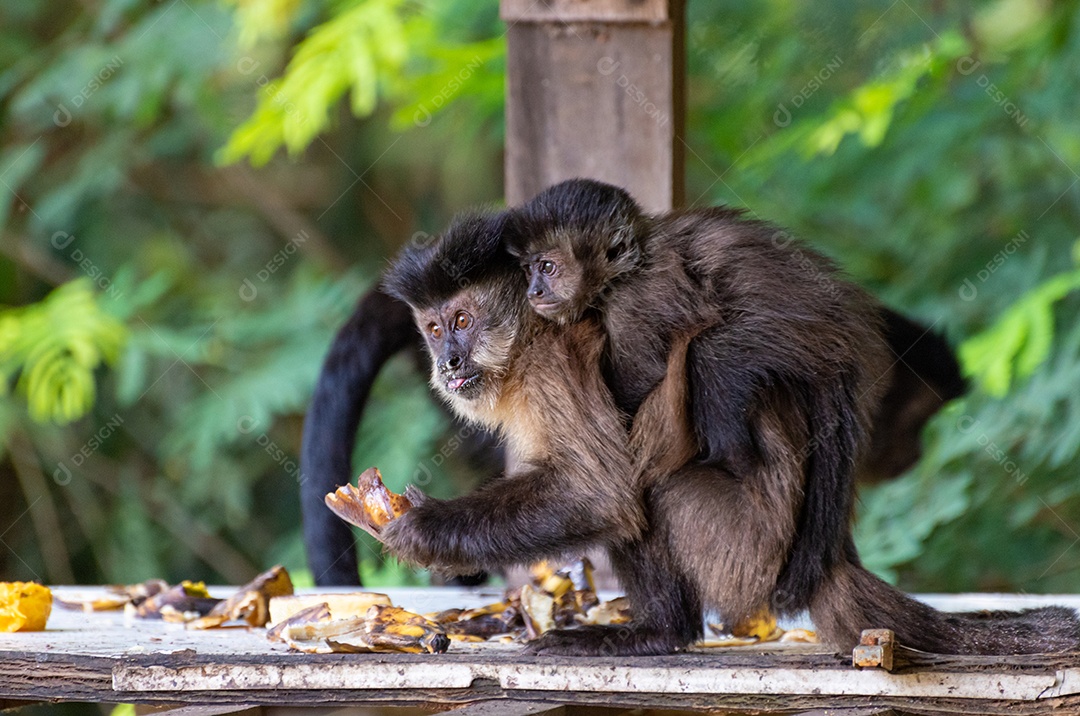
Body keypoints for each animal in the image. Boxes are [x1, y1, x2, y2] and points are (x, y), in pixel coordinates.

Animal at [378, 199, 1080, 656]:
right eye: (434, 329)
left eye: (463, 322)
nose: (449, 362)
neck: (525, 339)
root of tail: (831, 559)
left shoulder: (556, 363)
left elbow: (601, 493)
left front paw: (425, 532)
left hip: (744, 549)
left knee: (654, 487)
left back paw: (660, 634)